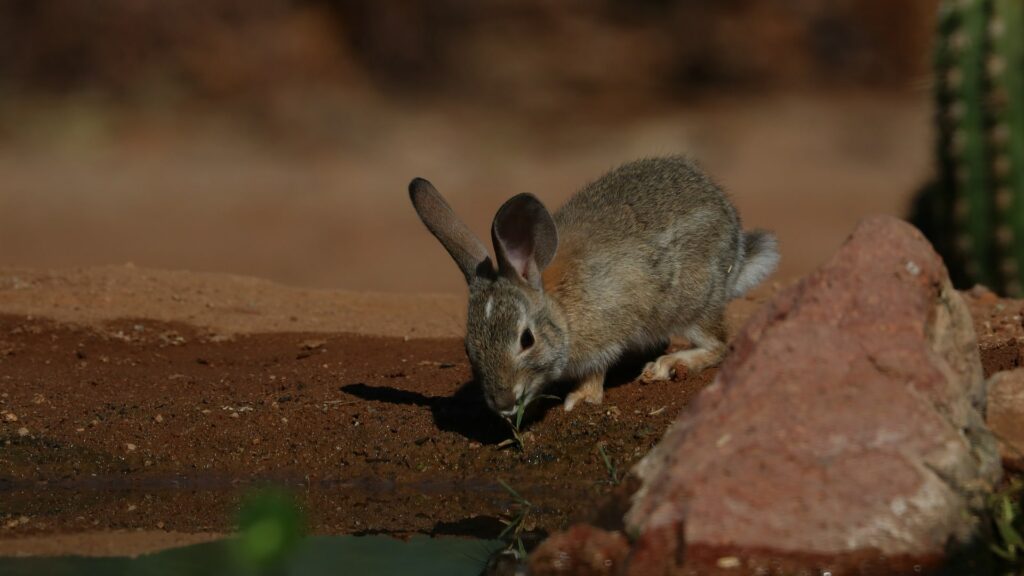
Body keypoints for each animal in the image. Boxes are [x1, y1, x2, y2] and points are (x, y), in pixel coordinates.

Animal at [407, 154, 774, 414]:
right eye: (468, 348)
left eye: (526, 340)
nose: (503, 404)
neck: (562, 311)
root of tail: (736, 250)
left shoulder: (605, 335)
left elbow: (595, 371)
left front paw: (579, 399)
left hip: (693, 302)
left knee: (718, 344)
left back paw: (667, 365)